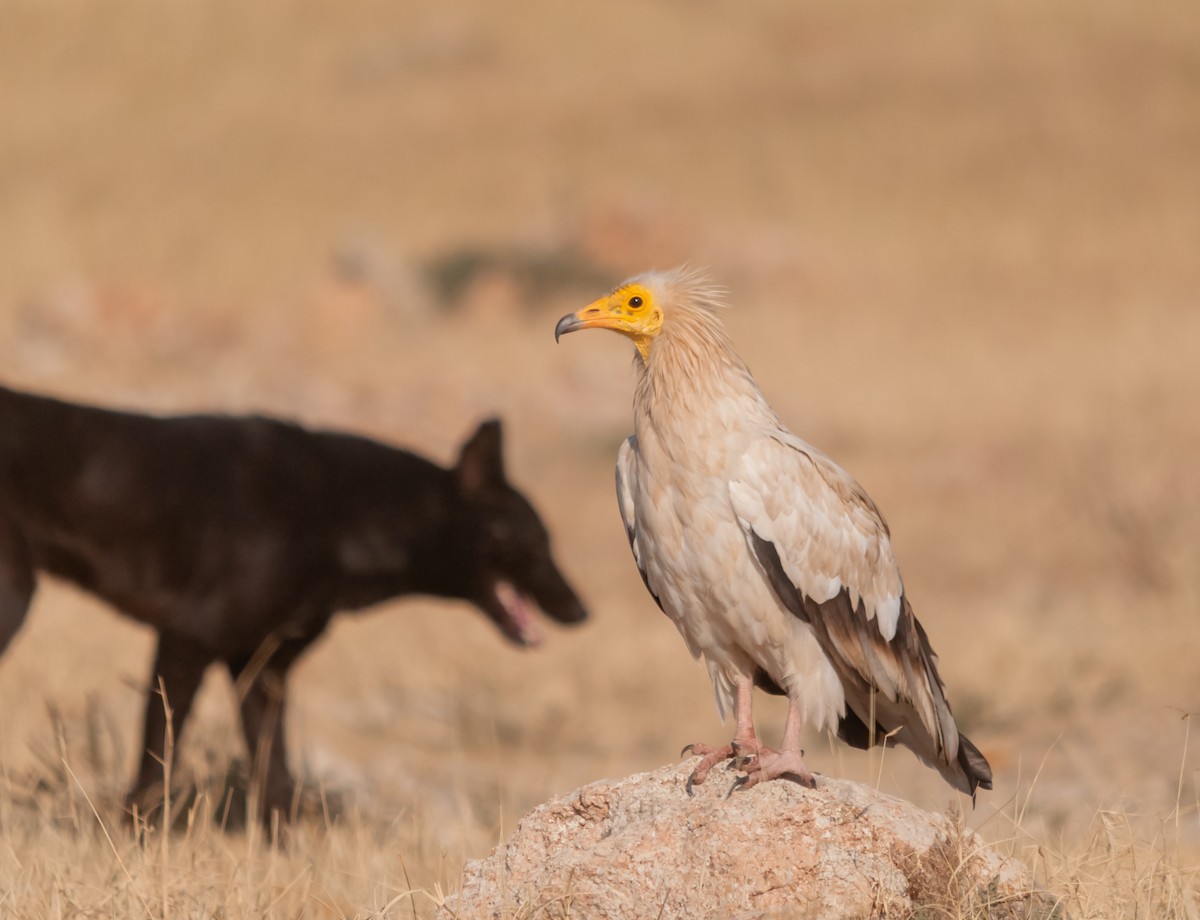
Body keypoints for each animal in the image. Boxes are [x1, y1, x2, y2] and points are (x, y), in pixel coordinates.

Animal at [0, 383, 585, 825]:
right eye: (533, 542)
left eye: (549, 541)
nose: (583, 611)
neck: (339, 514)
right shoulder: (185, 642)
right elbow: (155, 766)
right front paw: (136, 840)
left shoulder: (262, 674)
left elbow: (276, 784)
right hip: (15, 600)